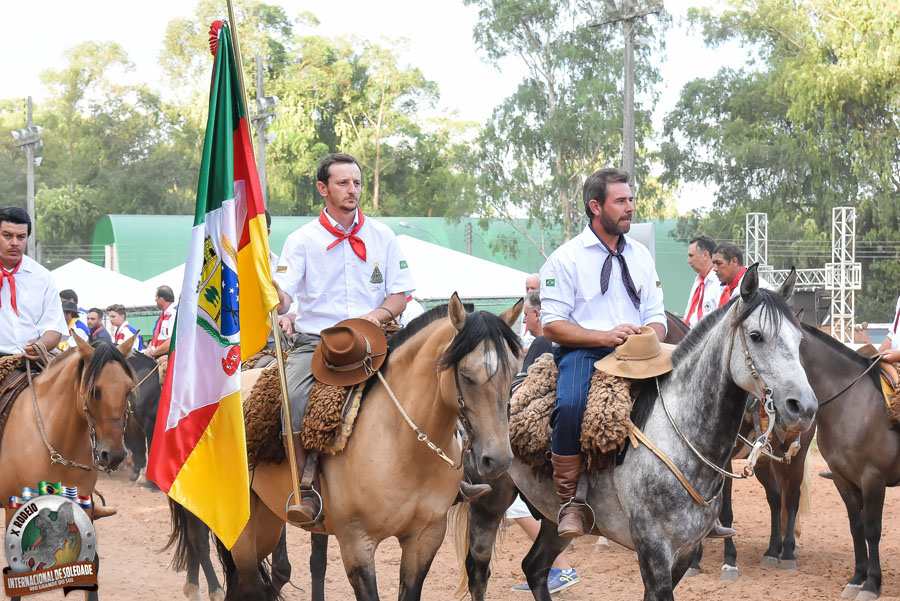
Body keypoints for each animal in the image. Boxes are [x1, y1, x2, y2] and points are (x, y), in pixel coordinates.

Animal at [215, 294, 522, 600]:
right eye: (467, 375)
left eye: (514, 371)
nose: (498, 459)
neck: (403, 449)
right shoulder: (356, 545)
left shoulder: (425, 538)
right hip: (243, 529)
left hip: (267, 521)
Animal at [458, 266, 817, 601]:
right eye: (756, 335)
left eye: (800, 340)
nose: (804, 407)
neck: (681, 439)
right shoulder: (653, 549)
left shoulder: (684, 551)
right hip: (488, 502)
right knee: (478, 571)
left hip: (552, 518)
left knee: (534, 567)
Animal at [797, 322, 900, 601]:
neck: (849, 402)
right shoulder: (842, 479)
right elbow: (856, 527)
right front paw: (856, 579)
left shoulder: (873, 478)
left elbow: (872, 530)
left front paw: (872, 584)